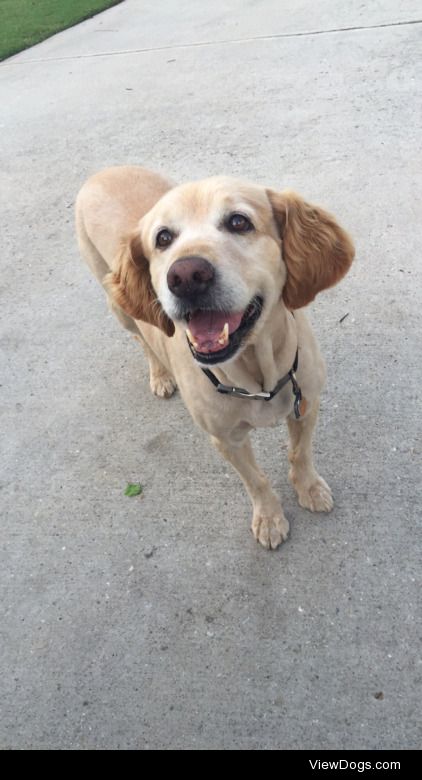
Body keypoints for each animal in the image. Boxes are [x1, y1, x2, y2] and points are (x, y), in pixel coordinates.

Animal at [75, 165, 352, 548]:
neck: (257, 375)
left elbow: (301, 454)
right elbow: (256, 480)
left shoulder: (306, 405)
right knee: (142, 340)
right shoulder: (226, 440)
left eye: (238, 222)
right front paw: (269, 518)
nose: (186, 276)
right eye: (163, 238)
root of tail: (104, 171)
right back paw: (160, 375)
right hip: (119, 305)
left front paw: (309, 488)